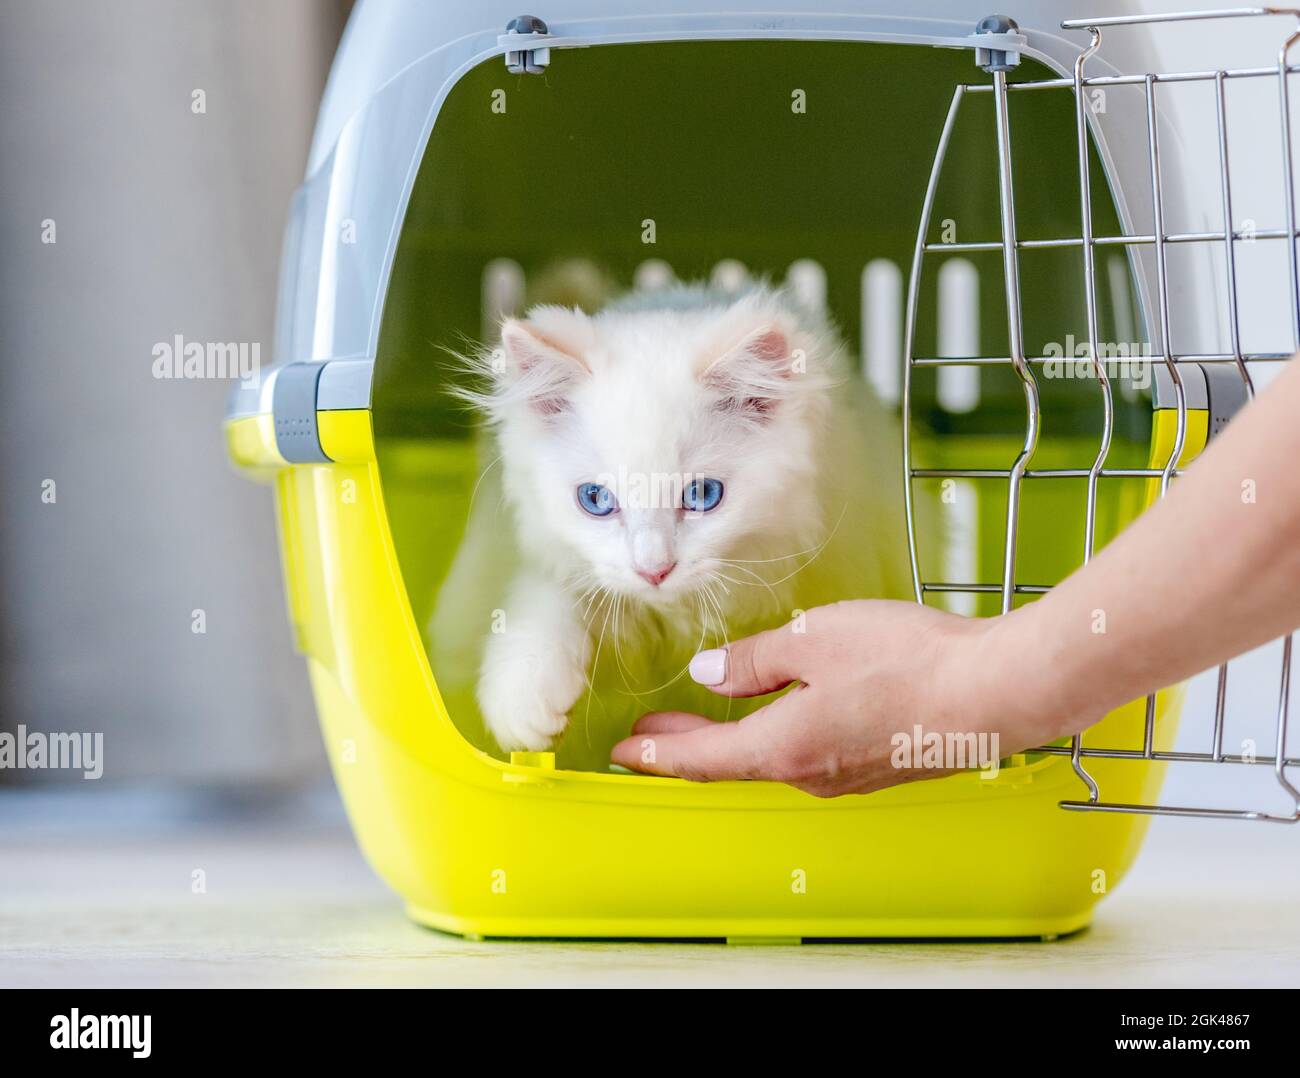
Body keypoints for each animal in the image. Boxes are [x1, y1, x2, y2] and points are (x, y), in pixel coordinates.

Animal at [452, 282, 909, 754]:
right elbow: (547, 602)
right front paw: (526, 705)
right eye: (596, 499)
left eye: (702, 494)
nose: (654, 571)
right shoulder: (553, 559)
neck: (678, 616)